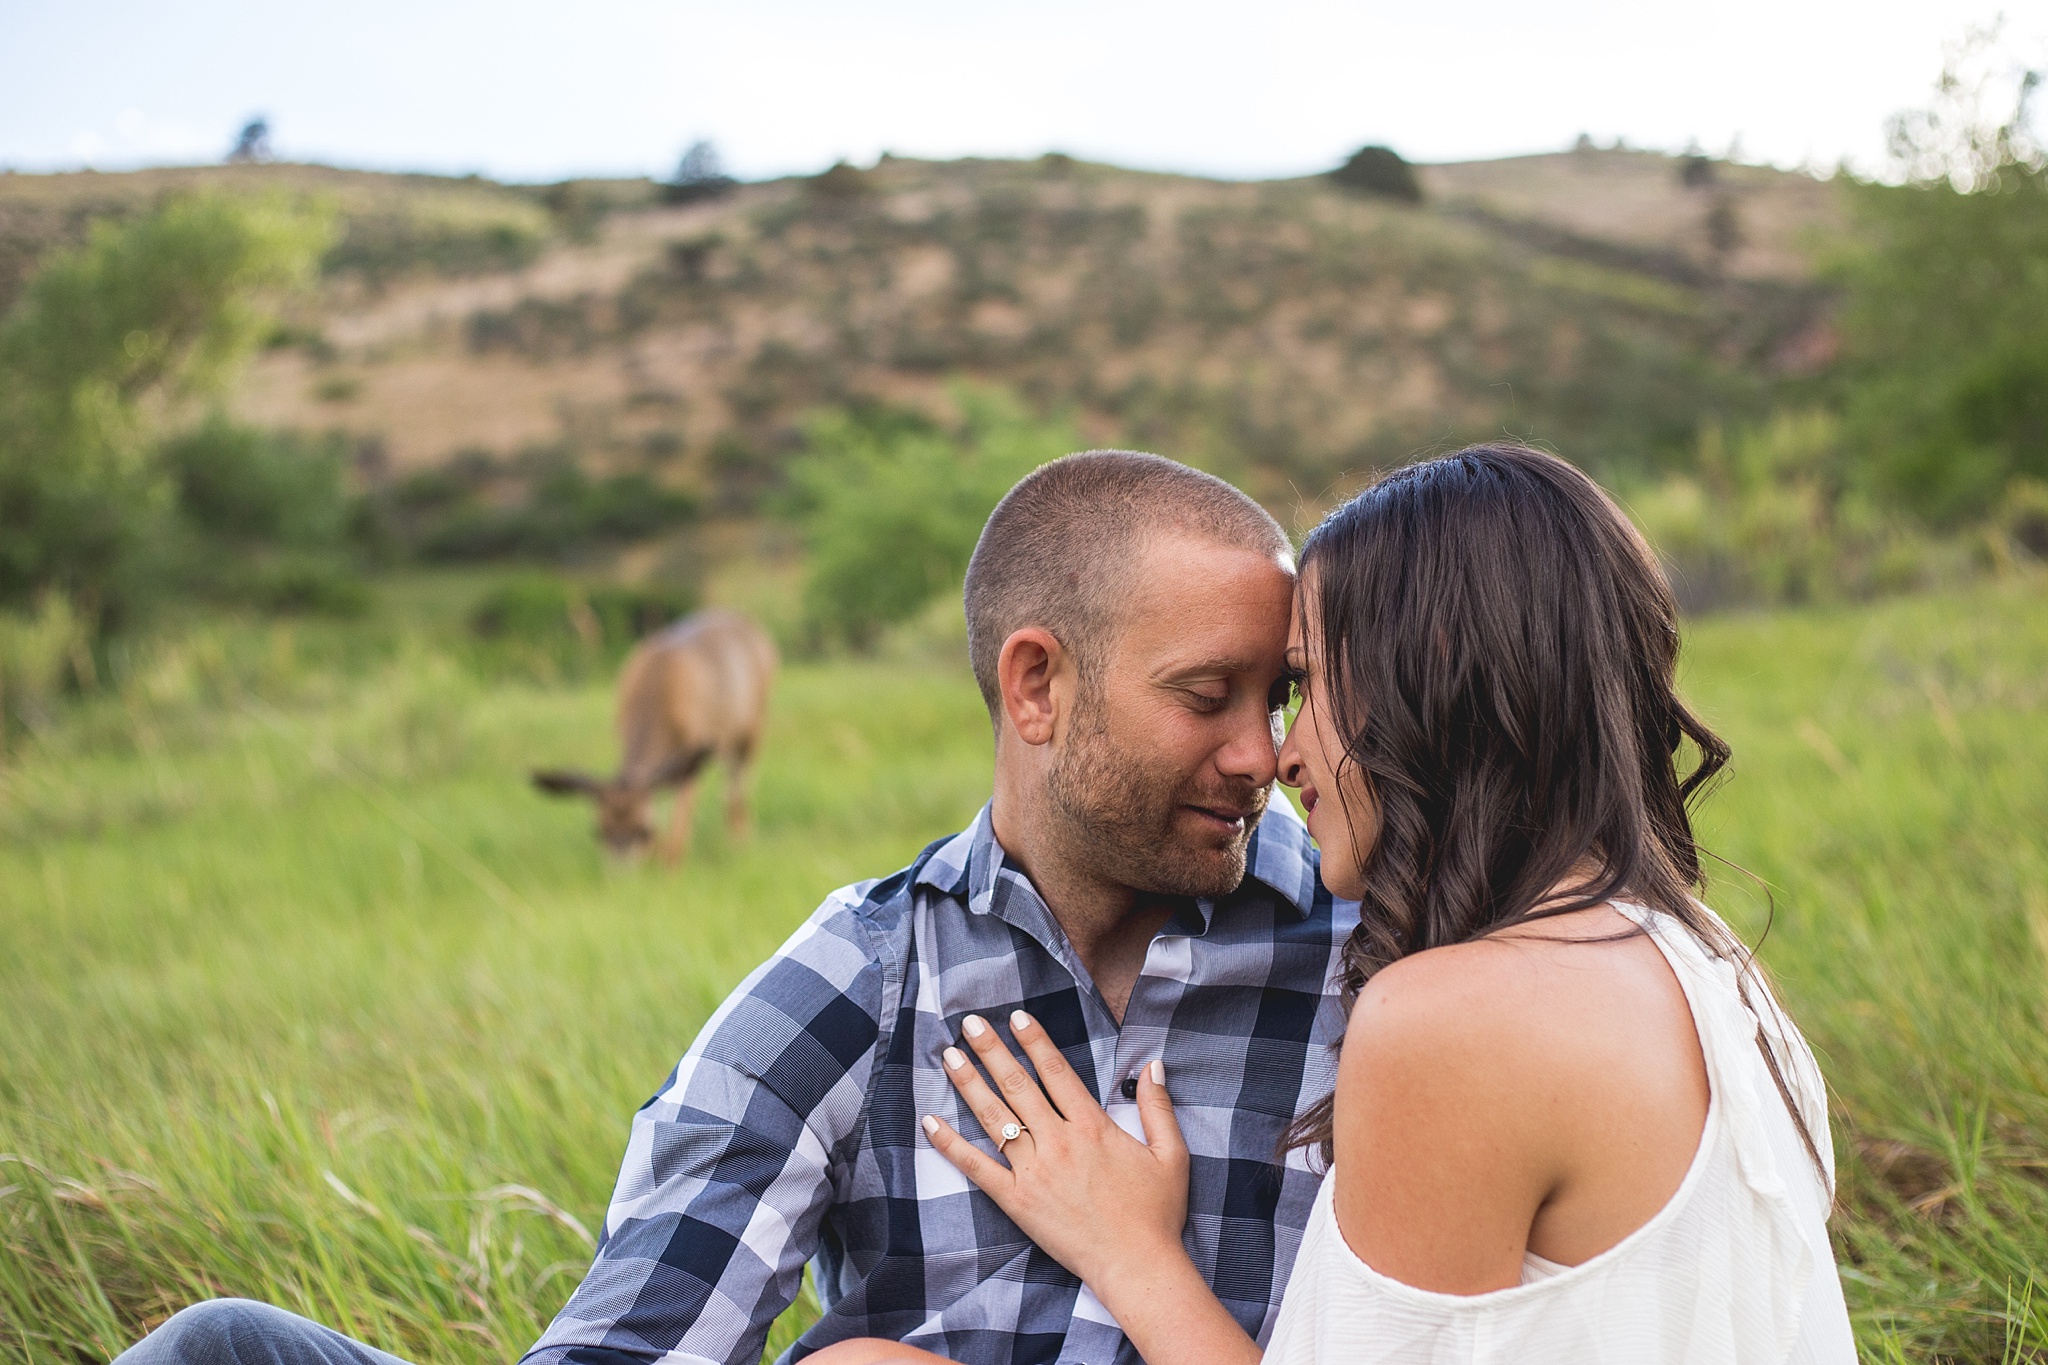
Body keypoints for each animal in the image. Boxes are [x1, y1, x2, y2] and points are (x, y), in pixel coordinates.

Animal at [536, 609, 774, 863]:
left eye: (643, 830)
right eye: (599, 831)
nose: (621, 869)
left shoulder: (692, 753)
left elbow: (680, 818)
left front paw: (671, 864)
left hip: (753, 727)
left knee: (738, 788)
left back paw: (740, 843)